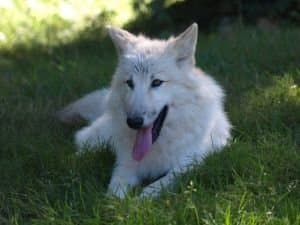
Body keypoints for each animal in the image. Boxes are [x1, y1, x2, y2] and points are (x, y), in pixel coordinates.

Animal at [58, 23, 232, 198]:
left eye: (156, 82)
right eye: (130, 83)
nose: (133, 122)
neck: (158, 145)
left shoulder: (189, 163)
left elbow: (156, 186)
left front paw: (137, 202)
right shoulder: (125, 165)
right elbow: (114, 192)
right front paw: (116, 204)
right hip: (100, 138)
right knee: (82, 144)